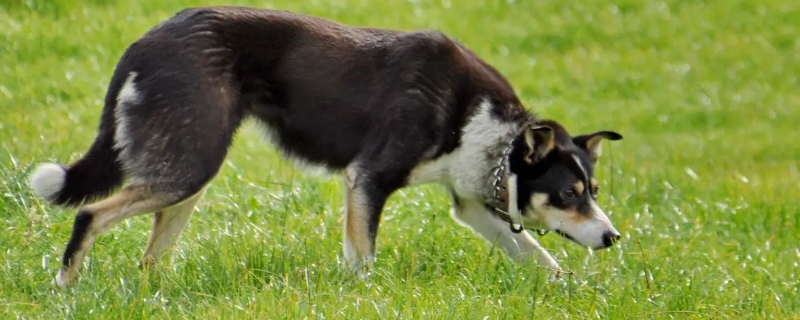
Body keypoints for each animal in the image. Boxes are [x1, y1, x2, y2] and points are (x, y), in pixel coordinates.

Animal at [26, 6, 624, 288]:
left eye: (592, 189)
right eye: (569, 194)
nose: (613, 237)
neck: (483, 124)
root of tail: (146, 40)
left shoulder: (474, 203)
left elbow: (544, 261)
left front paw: (577, 295)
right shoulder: (368, 180)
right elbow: (364, 260)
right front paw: (365, 298)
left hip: (189, 170)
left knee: (150, 258)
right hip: (191, 166)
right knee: (91, 215)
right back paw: (65, 286)